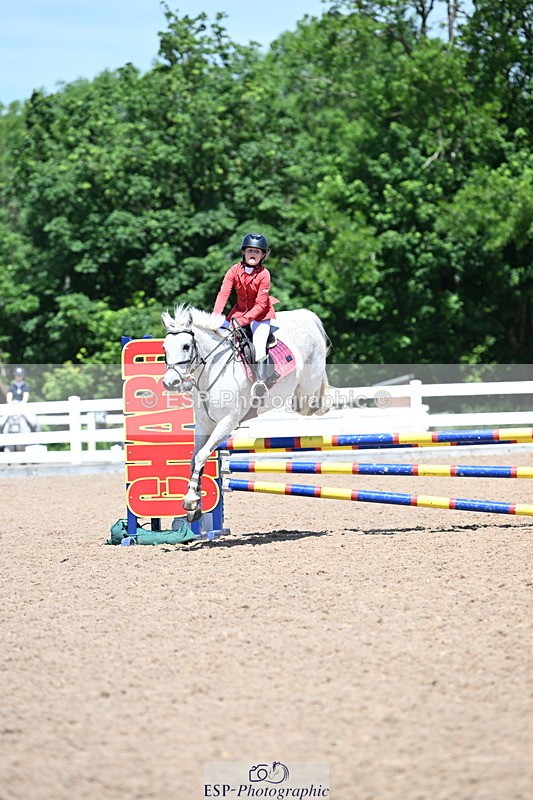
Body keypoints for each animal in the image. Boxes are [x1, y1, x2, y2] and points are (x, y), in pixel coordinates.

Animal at [162, 304, 331, 522]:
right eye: (164, 348)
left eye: (185, 346)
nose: (170, 382)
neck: (212, 371)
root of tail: (305, 315)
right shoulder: (204, 423)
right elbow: (194, 458)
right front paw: (195, 506)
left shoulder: (227, 422)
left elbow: (201, 456)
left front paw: (191, 500)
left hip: (310, 383)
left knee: (314, 400)